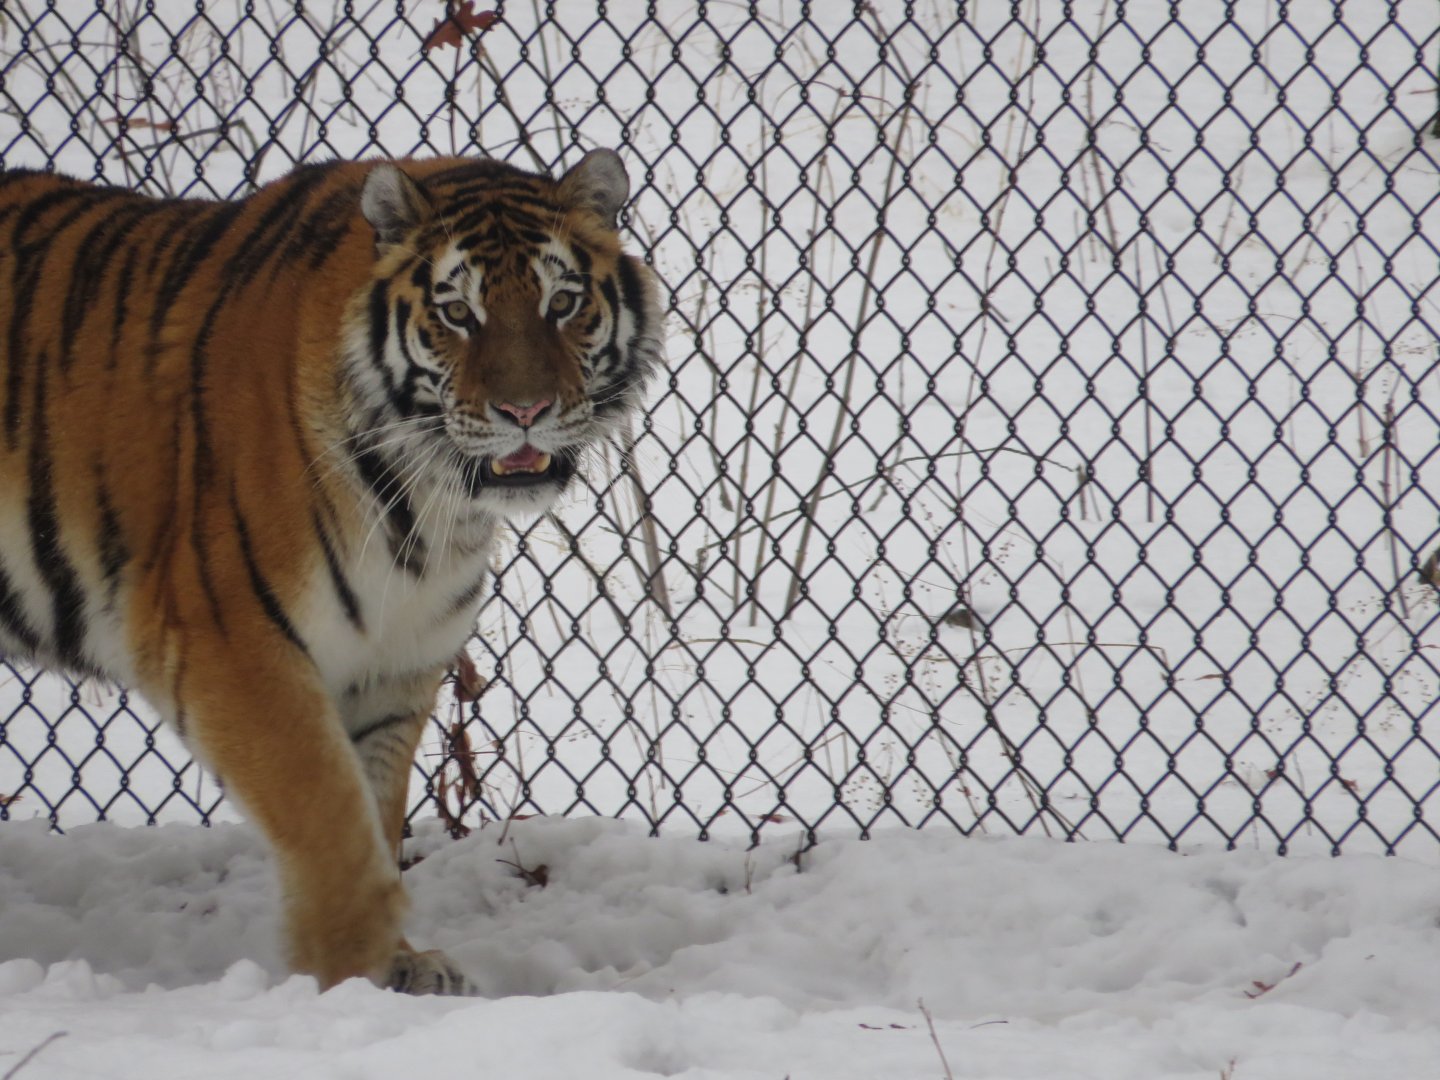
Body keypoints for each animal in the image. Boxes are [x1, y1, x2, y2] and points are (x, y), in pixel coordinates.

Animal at [0, 149, 664, 994]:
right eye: (458, 313)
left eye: (564, 303)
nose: (526, 411)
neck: (432, 508)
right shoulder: (232, 642)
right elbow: (328, 817)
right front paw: (351, 971)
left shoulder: (391, 666)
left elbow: (373, 812)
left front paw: (398, 968)